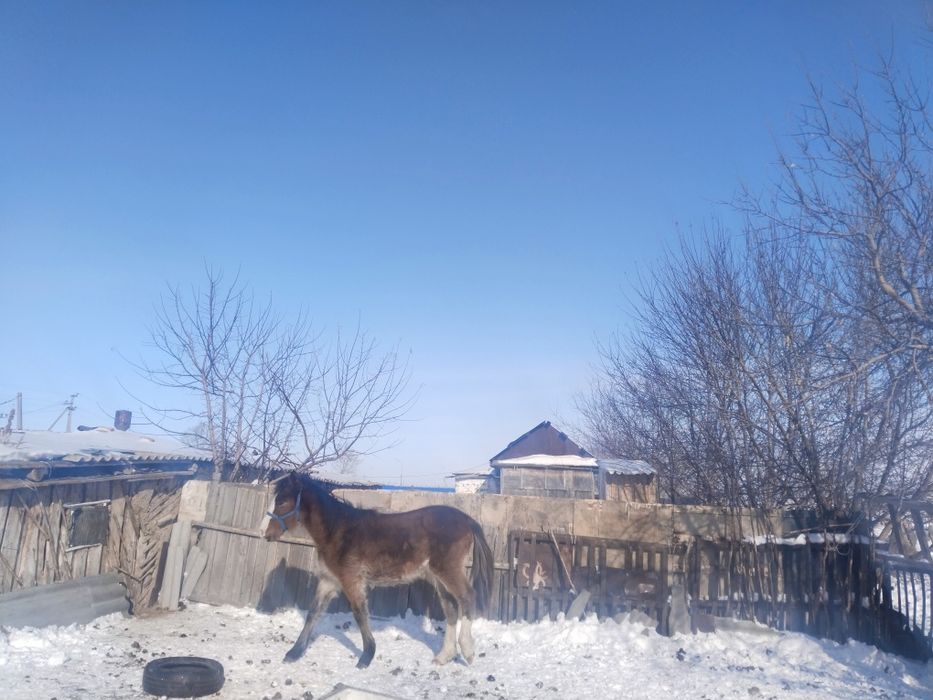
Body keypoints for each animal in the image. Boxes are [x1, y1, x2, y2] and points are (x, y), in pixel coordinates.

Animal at [263, 472, 494, 669]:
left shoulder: (351, 581)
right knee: (451, 608)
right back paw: (444, 656)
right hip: (438, 577)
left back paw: (468, 651)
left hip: (448, 571)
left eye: (281, 502)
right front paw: (293, 653)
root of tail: (468, 520)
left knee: (467, 598)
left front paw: (366, 656)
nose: (264, 533)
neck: (338, 531)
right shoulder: (329, 581)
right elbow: (313, 613)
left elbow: (359, 613)